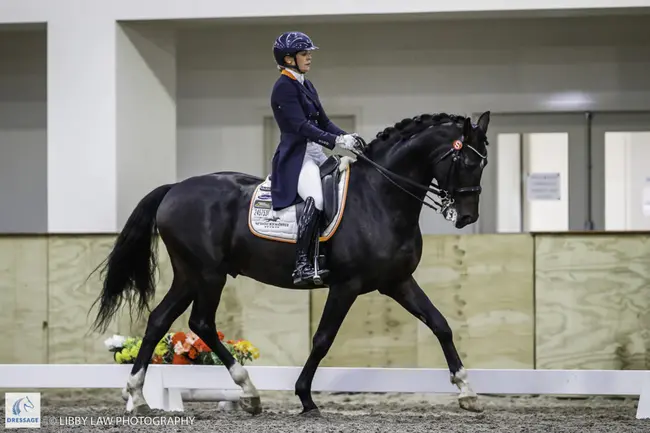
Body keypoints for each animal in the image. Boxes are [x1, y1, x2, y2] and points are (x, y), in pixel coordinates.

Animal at [88, 110, 488, 416]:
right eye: (467, 162)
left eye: (483, 163)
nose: (467, 217)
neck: (379, 197)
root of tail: (174, 188)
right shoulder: (347, 285)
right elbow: (323, 339)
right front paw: (306, 398)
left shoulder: (397, 282)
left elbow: (440, 325)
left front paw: (468, 392)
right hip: (208, 273)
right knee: (200, 322)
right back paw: (246, 391)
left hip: (190, 274)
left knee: (160, 320)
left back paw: (140, 396)